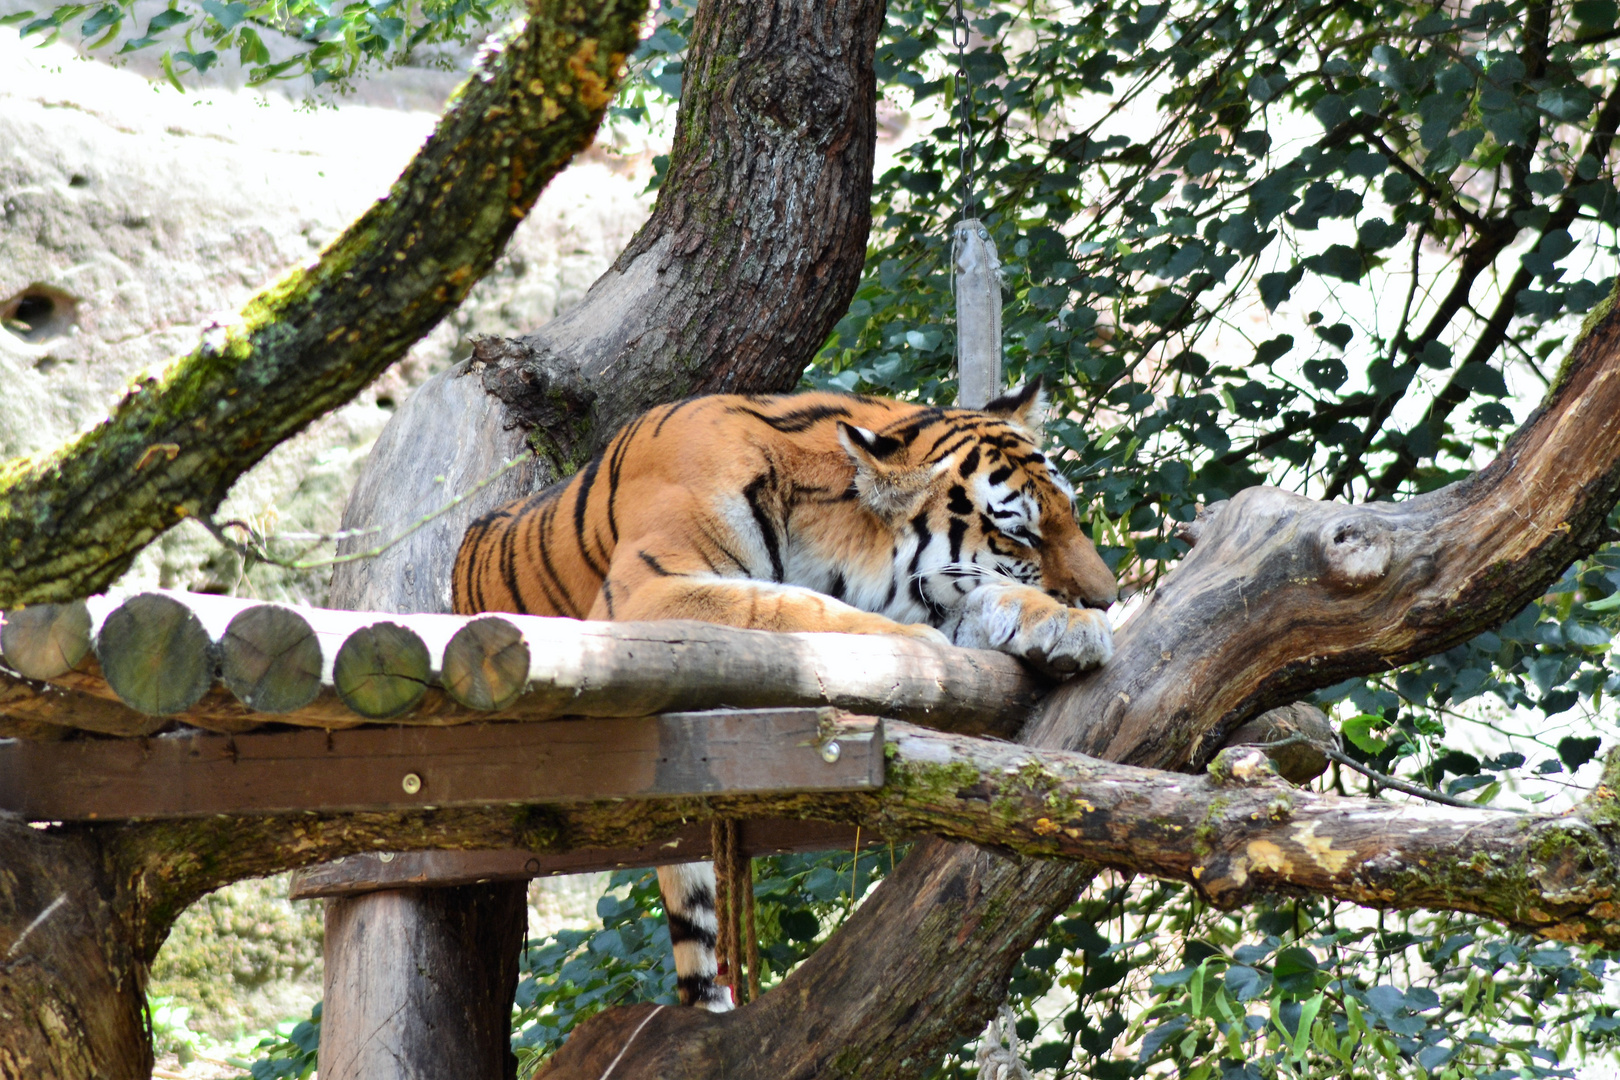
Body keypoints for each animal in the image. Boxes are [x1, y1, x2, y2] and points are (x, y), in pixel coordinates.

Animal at [450, 382, 1121, 1016]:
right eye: (1021, 534)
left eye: (1071, 514)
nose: (1109, 599)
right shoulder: (647, 594)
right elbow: (787, 605)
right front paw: (912, 645)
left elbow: (982, 599)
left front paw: (1064, 624)